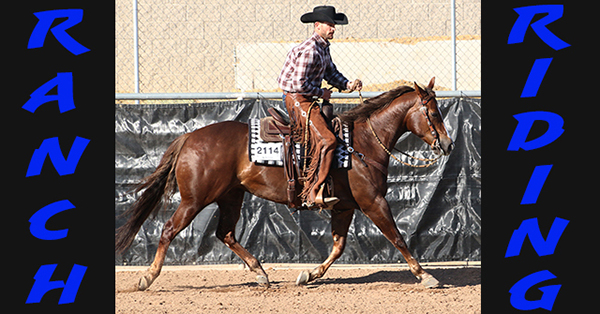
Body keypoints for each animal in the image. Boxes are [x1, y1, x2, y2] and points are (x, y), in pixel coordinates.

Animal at [116, 77, 454, 290]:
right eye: (434, 113)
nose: (449, 145)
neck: (361, 144)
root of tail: (189, 137)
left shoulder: (344, 208)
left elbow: (338, 247)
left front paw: (309, 274)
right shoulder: (373, 202)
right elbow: (397, 238)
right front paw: (425, 275)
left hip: (231, 196)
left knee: (225, 233)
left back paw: (260, 273)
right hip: (194, 200)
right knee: (169, 230)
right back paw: (148, 277)